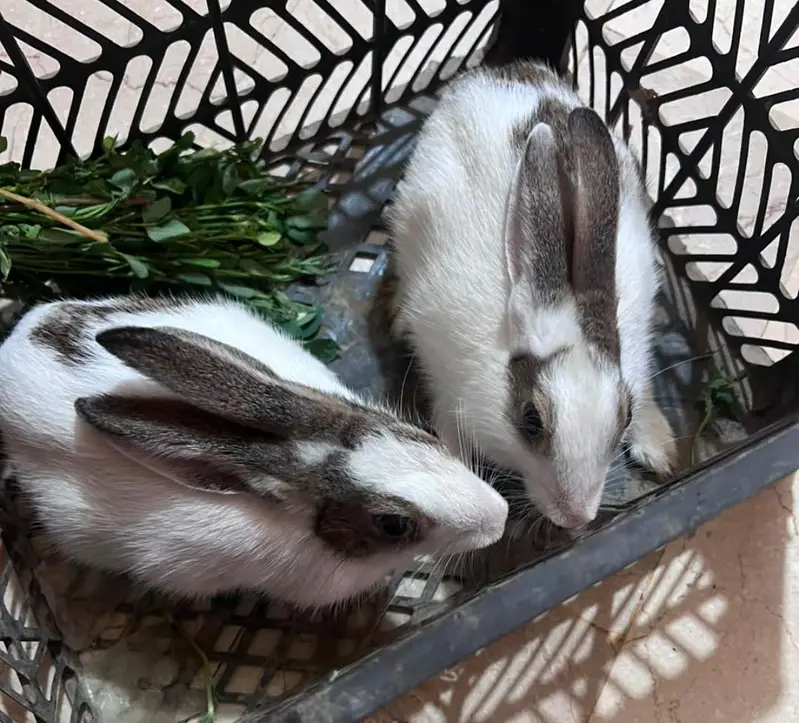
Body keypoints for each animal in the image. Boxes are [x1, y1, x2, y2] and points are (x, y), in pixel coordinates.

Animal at [387, 61, 677, 530]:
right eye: (531, 421)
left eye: (625, 415)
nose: (576, 517)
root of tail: (501, 69)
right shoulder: (446, 392)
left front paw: (657, 447)